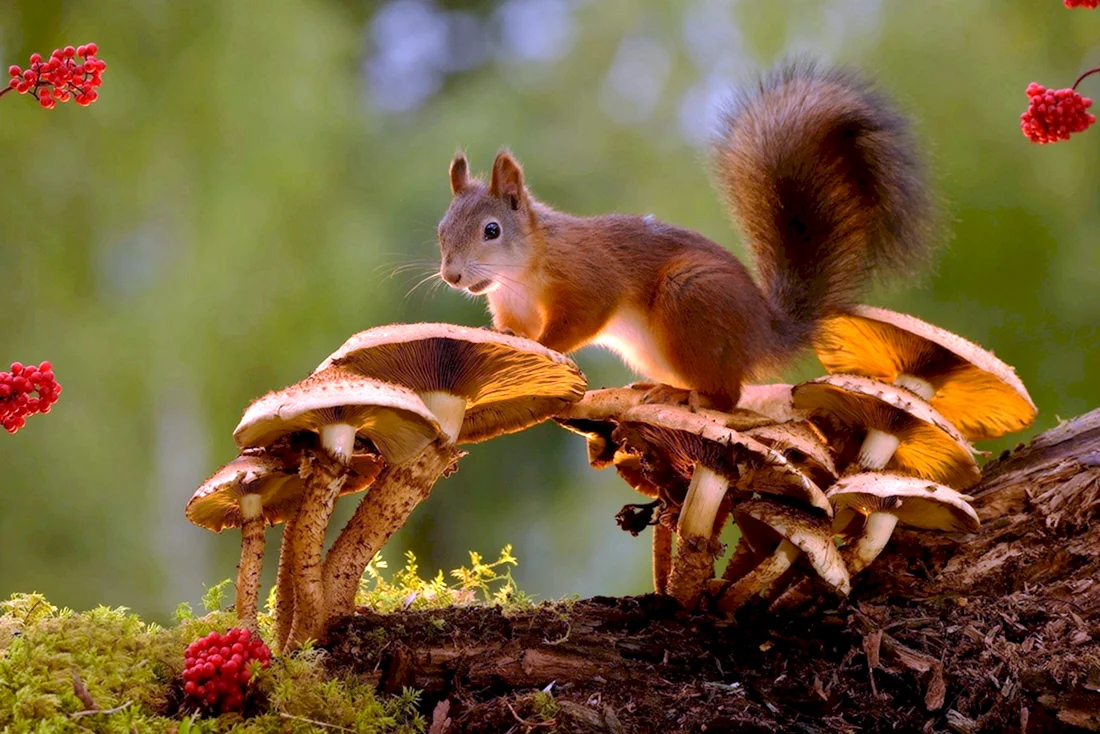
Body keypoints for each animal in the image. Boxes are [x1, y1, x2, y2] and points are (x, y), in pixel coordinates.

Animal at [435, 61, 935, 411]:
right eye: (441, 230)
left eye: (492, 230)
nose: (451, 276)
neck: (520, 273)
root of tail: (764, 332)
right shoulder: (511, 305)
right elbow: (512, 328)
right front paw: (497, 337)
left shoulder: (588, 275)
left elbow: (582, 317)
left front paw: (545, 346)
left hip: (691, 301)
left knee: (729, 397)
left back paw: (686, 397)